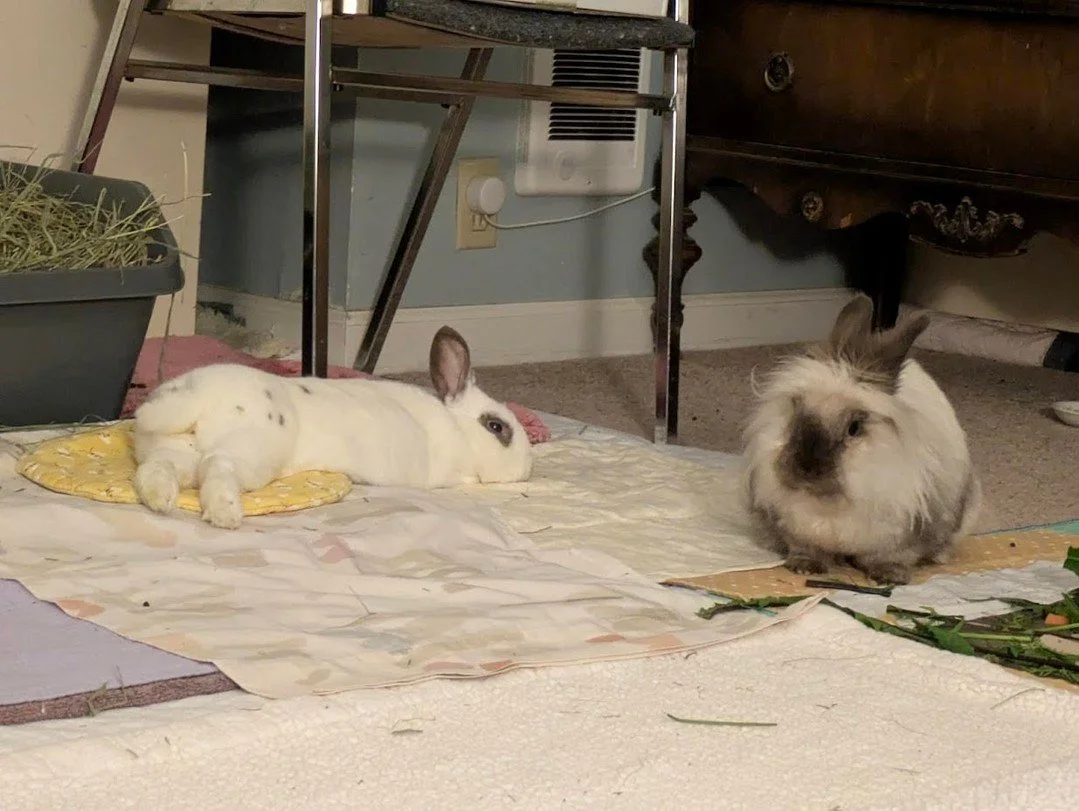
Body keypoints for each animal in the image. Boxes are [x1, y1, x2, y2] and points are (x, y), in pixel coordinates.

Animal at [132, 325, 533, 529]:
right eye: (497, 427)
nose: (528, 464)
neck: (458, 429)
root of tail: (198, 396)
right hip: (250, 450)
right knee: (218, 466)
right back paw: (227, 514)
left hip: (175, 448)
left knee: (156, 469)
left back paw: (159, 501)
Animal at [740, 293, 980, 585]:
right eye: (796, 409)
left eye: (854, 427)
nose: (804, 468)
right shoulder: (796, 530)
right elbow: (806, 548)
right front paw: (805, 566)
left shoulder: (902, 538)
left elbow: (891, 557)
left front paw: (889, 576)